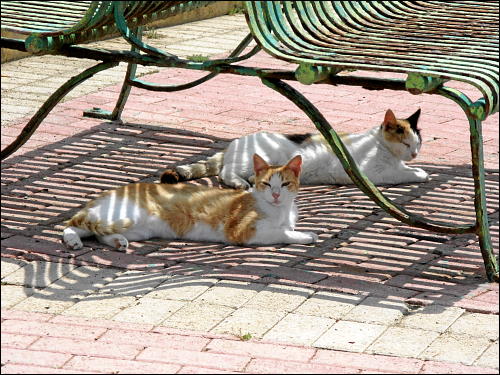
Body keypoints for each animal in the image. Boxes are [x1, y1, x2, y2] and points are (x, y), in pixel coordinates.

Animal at [62, 154, 316, 251]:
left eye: (284, 184)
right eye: (266, 184)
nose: (276, 195)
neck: (279, 211)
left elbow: (285, 229)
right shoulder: (244, 232)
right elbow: (282, 233)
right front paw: (307, 235)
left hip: (136, 230)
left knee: (98, 234)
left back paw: (117, 242)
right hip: (121, 217)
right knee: (73, 224)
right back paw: (73, 241)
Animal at [162, 109, 428, 189]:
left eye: (418, 143)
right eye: (406, 143)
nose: (414, 154)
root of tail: (233, 144)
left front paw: (417, 169)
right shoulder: (372, 173)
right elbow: (401, 174)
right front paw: (420, 174)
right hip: (252, 160)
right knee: (225, 173)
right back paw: (240, 183)